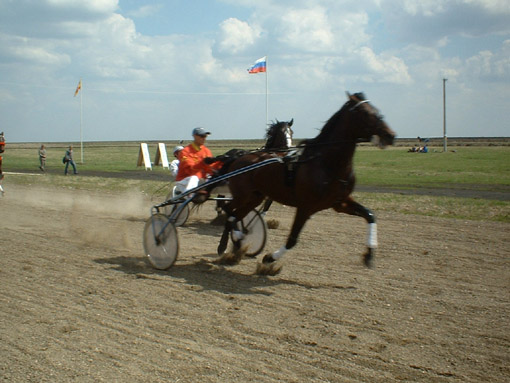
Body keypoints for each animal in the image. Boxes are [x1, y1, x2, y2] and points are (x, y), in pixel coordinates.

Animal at [217, 91, 396, 274]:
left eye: (377, 110)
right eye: (366, 113)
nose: (390, 135)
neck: (326, 163)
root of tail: (238, 157)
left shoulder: (340, 202)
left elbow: (370, 215)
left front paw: (369, 255)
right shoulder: (305, 207)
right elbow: (292, 239)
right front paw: (269, 258)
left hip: (255, 197)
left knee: (234, 215)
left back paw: (235, 242)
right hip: (243, 195)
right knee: (229, 211)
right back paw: (229, 242)